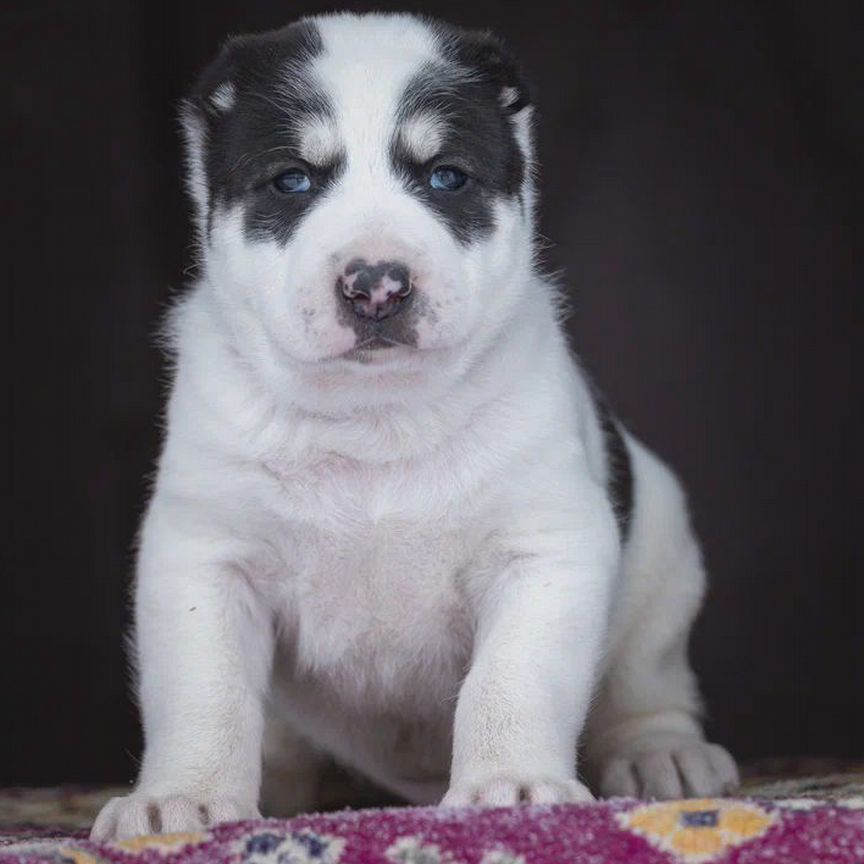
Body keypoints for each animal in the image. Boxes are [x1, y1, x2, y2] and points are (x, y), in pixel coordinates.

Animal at [91, 10, 736, 840]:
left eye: (446, 178)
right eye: (292, 180)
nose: (376, 286)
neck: (376, 416)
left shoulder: (544, 551)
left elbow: (511, 676)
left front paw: (510, 783)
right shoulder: (203, 557)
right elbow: (204, 689)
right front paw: (181, 797)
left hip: (663, 571)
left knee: (648, 690)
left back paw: (665, 757)